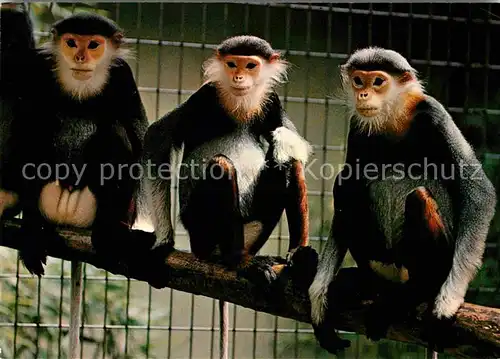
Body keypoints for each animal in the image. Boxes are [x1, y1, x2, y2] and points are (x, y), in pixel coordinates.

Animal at [3, 11, 148, 359]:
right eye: (71, 43)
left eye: (93, 45)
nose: (81, 56)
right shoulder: (40, 69)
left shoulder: (123, 77)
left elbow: (140, 139)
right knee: (33, 128)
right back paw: (32, 227)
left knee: (116, 133)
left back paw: (109, 231)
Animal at [143, 35, 318, 359]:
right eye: (232, 64)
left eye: (250, 66)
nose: (239, 77)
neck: (239, 105)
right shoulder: (204, 97)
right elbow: (156, 140)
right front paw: (163, 243)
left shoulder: (271, 103)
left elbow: (292, 149)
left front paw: (299, 259)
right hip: (203, 230)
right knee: (220, 166)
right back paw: (237, 262)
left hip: (253, 227)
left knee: (286, 162)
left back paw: (290, 259)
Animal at [308, 46, 496, 352]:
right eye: (358, 81)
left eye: (378, 82)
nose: (363, 94)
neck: (394, 116)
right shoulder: (358, 125)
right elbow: (348, 182)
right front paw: (318, 297)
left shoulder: (434, 114)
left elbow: (479, 192)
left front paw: (447, 304)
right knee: (346, 185)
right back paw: (369, 283)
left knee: (418, 197)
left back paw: (421, 288)